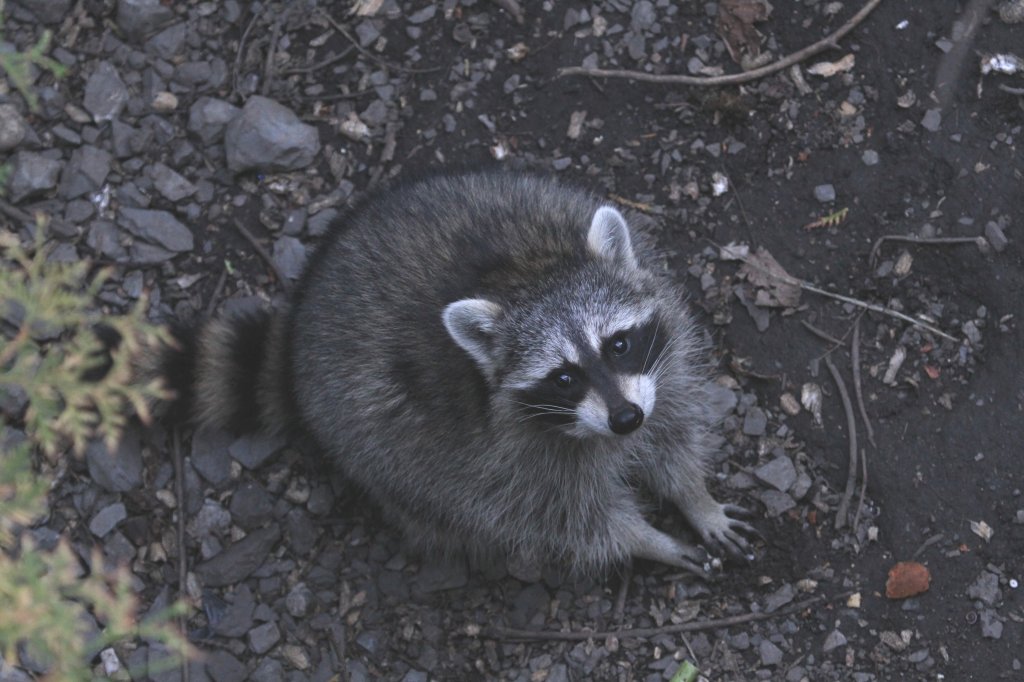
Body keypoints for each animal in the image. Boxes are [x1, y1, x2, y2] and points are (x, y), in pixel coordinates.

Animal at [167, 171, 757, 573]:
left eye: (618, 344)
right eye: (564, 378)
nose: (626, 420)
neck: (526, 277)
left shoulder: (665, 361)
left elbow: (674, 433)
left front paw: (695, 498)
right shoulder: (507, 460)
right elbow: (569, 520)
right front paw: (648, 540)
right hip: (373, 439)